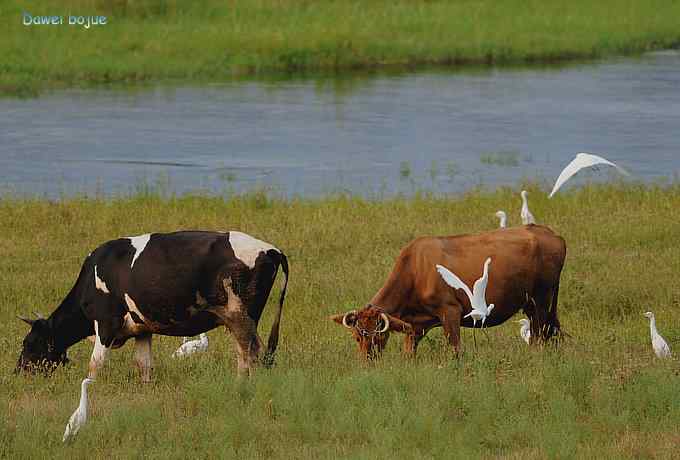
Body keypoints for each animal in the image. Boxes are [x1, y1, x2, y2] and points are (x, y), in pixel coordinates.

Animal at [15, 230, 286, 380]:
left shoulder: (106, 323)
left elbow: (95, 364)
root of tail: (272, 249)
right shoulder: (142, 330)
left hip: (241, 315)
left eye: (28, 343)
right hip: (237, 320)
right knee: (243, 354)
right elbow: (144, 365)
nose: (17, 373)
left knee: (252, 353)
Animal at [332, 225, 564, 358]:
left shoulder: (450, 311)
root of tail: (548, 233)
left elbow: (455, 349)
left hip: (541, 300)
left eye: (378, 335)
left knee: (538, 335)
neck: (415, 269)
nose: (367, 360)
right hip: (533, 303)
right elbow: (408, 353)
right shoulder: (416, 325)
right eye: (357, 337)